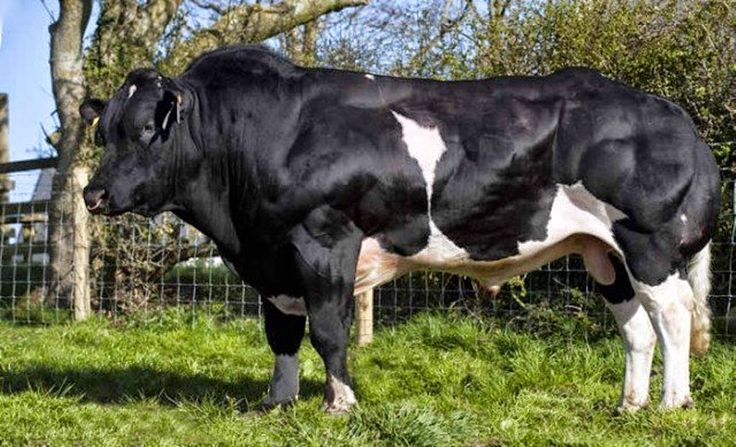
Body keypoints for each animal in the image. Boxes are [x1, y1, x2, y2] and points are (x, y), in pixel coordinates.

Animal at [80, 45, 720, 412]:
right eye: (104, 130)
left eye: (146, 128)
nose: (93, 194)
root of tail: (672, 114)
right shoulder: (270, 257)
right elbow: (282, 334)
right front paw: (277, 403)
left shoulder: (324, 240)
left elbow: (328, 332)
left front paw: (340, 404)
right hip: (600, 251)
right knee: (636, 328)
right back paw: (629, 405)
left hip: (649, 242)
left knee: (672, 316)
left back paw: (672, 404)